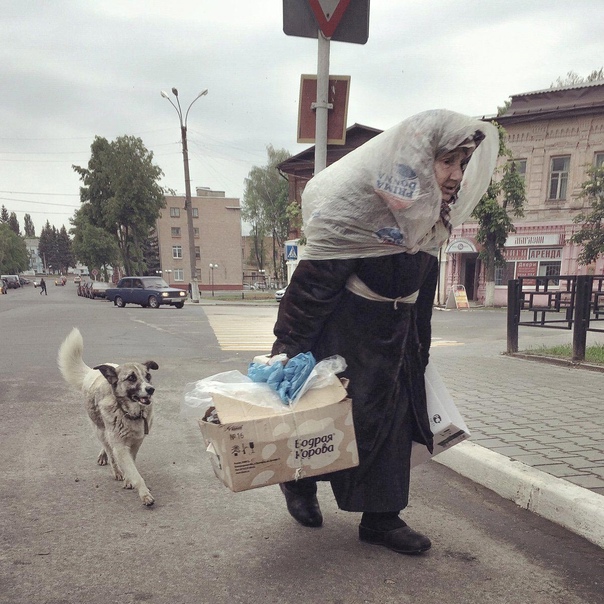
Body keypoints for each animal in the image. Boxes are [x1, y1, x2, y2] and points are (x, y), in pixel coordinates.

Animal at [57, 328, 158, 508]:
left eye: (148, 376)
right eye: (131, 378)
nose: (151, 389)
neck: (128, 412)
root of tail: (92, 373)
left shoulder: (136, 442)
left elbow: (132, 462)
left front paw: (129, 480)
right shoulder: (120, 446)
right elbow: (132, 470)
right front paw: (144, 493)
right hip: (99, 430)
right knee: (109, 449)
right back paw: (114, 468)